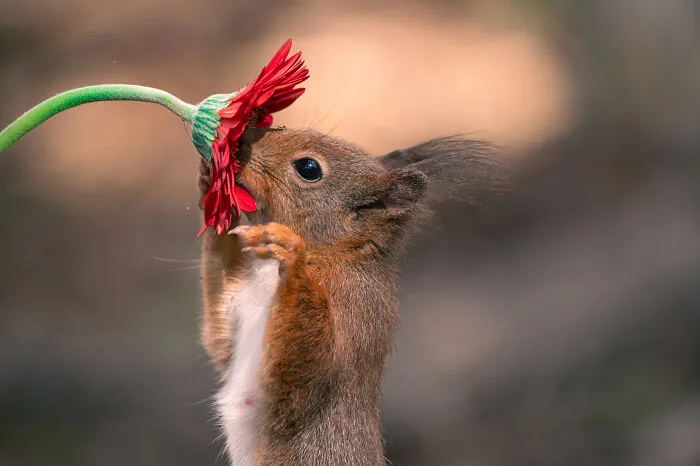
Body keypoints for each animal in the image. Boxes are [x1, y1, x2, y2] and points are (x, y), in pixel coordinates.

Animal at [197, 127, 506, 465]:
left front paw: (292, 254)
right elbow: (219, 342)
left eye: (308, 168)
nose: (238, 145)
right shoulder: (239, 305)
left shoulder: (354, 311)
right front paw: (208, 185)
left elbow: (303, 377)